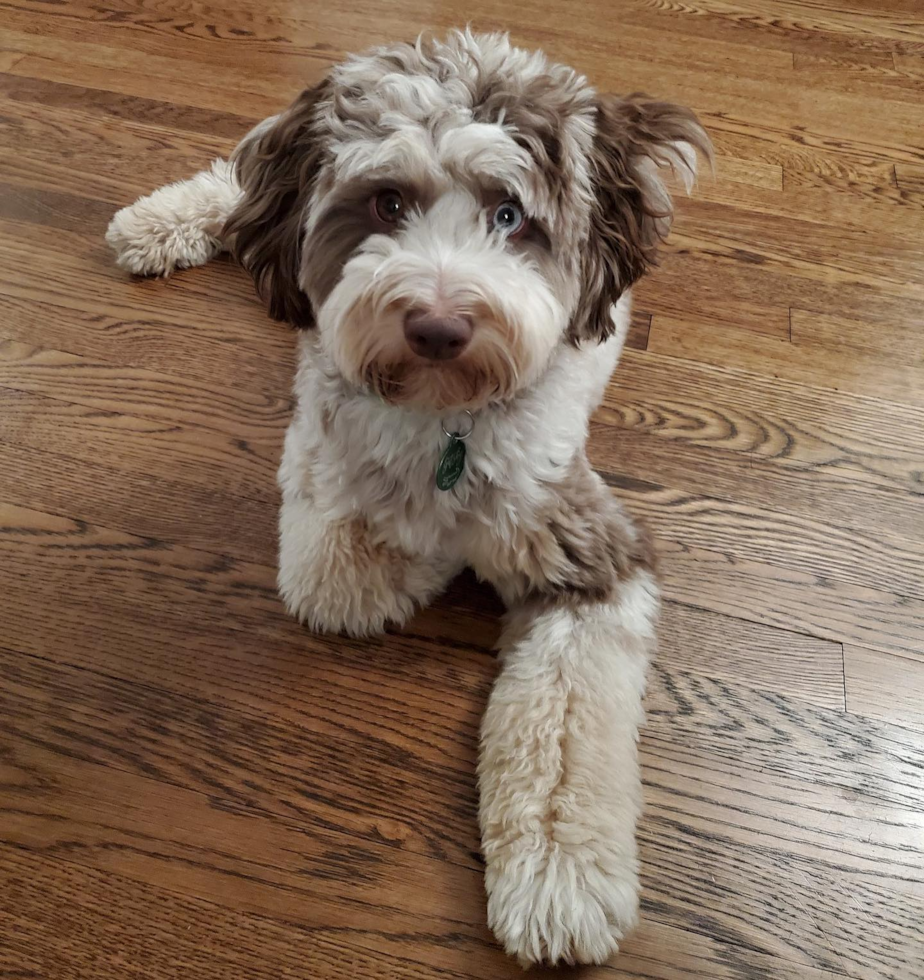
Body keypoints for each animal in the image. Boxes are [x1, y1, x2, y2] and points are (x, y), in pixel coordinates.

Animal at [108, 30, 712, 964]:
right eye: (387, 202)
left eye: (510, 216)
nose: (437, 326)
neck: (443, 418)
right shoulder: (321, 468)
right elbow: (347, 579)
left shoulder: (588, 552)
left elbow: (561, 734)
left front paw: (557, 883)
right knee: (243, 195)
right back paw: (160, 221)